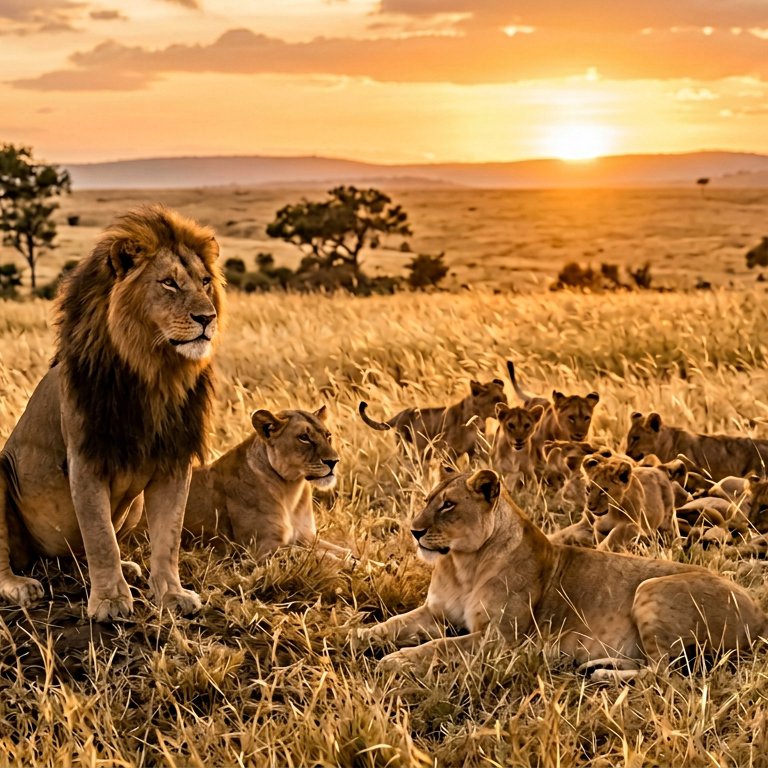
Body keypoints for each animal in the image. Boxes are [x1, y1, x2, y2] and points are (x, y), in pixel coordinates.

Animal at [0, 205, 224, 621]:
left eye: (205, 282)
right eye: (169, 283)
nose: (208, 317)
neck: (155, 373)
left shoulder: (173, 460)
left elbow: (168, 538)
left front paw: (172, 594)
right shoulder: (86, 459)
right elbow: (101, 536)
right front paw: (110, 601)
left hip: (133, 508)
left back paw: (128, 568)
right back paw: (20, 586)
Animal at [183, 407, 352, 561]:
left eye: (328, 435)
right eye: (304, 437)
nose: (334, 461)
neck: (291, 490)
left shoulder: (307, 537)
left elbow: (344, 551)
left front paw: (354, 561)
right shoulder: (258, 550)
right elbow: (312, 555)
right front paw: (344, 565)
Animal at [357, 469, 766, 680]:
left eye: (448, 505)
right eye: (428, 500)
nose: (414, 531)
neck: (462, 565)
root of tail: (759, 615)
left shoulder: (500, 641)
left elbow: (439, 646)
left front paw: (396, 661)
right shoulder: (435, 612)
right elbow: (392, 624)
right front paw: (356, 635)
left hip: (650, 588)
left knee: (664, 675)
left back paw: (601, 675)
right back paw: (596, 664)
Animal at [358, 378, 506, 460]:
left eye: (504, 398)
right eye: (495, 399)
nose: (505, 408)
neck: (477, 420)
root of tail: (402, 412)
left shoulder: (474, 452)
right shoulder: (448, 453)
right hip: (405, 449)